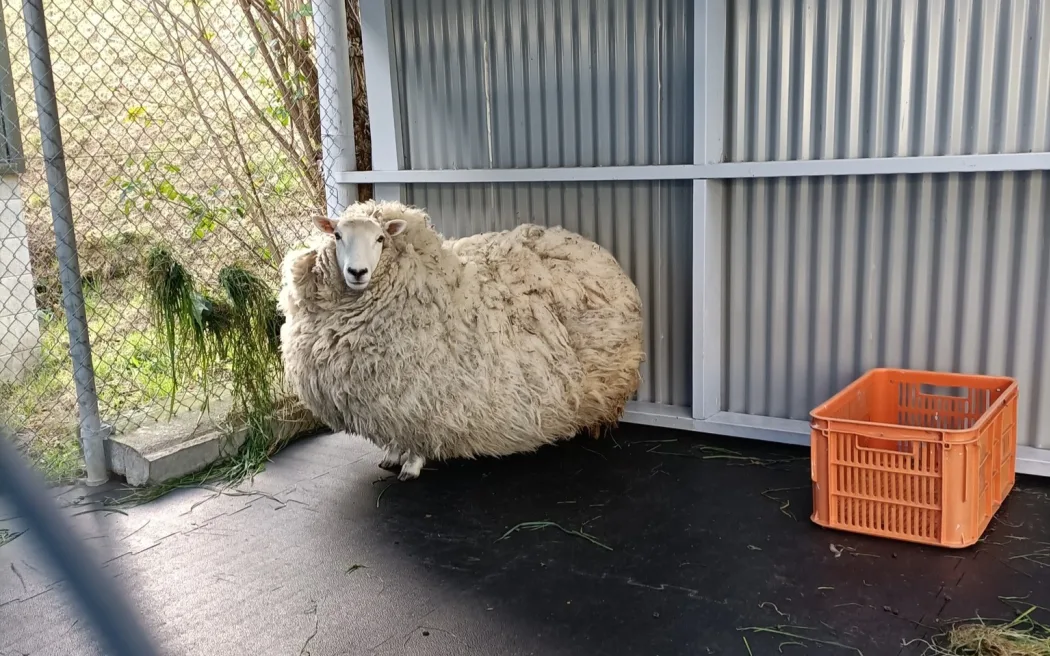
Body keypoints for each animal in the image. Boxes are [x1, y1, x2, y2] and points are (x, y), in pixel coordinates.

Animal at [277, 199, 644, 480]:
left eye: (380, 238)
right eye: (338, 235)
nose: (357, 272)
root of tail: (595, 249)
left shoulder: (419, 397)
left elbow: (416, 437)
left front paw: (411, 466)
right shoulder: (389, 401)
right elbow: (395, 435)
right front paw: (392, 456)